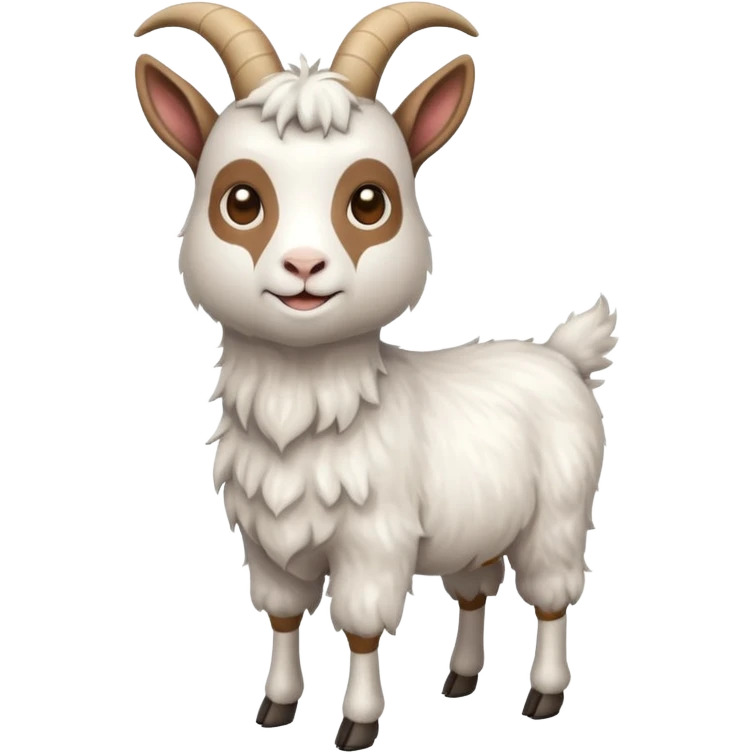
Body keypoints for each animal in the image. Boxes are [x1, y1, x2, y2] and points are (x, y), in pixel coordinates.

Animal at [133, 2, 618, 748]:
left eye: (368, 201)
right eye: (240, 199)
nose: (304, 266)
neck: (302, 403)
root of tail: (561, 353)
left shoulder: (374, 542)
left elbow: (361, 627)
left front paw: (355, 725)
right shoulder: (266, 546)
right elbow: (280, 616)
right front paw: (274, 709)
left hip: (557, 515)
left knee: (551, 599)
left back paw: (542, 695)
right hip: (478, 527)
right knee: (475, 588)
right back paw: (459, 680)